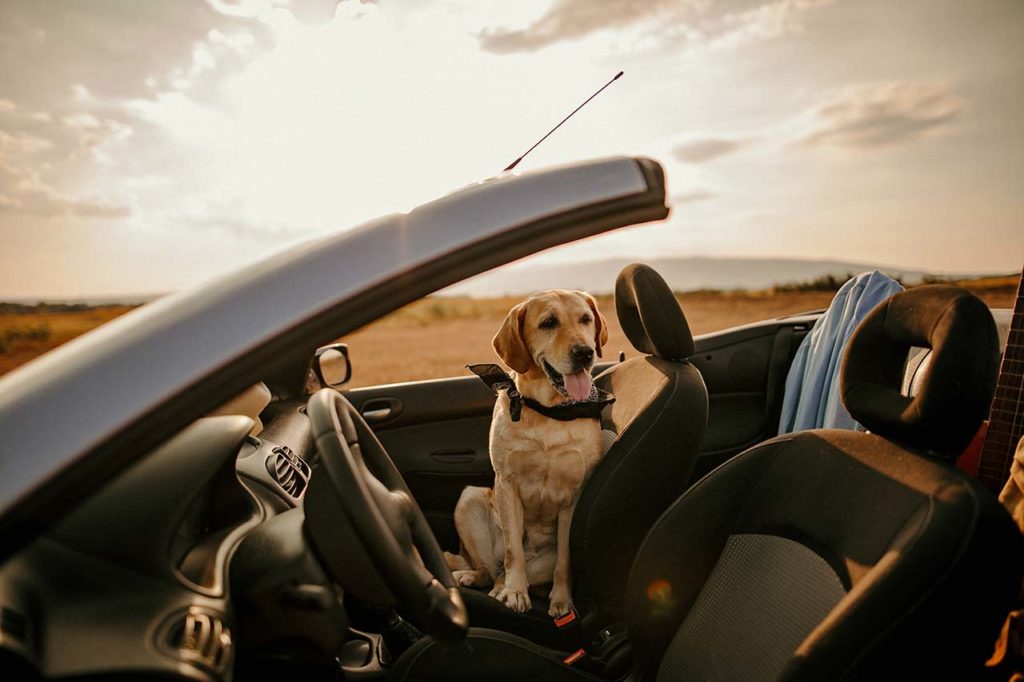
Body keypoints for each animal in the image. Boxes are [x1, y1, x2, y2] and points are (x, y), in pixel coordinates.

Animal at [446, 288, 606, 614]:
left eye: (585, 319)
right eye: (548, 323)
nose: (585, 353)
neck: (549, 411)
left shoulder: (574, 497)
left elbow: (565, 561)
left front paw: (561, 601)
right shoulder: (507, 484)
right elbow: (513, 551)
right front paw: (515, 592)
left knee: (504, 573)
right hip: (469, 499)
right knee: (493, 569)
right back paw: (481, 579)